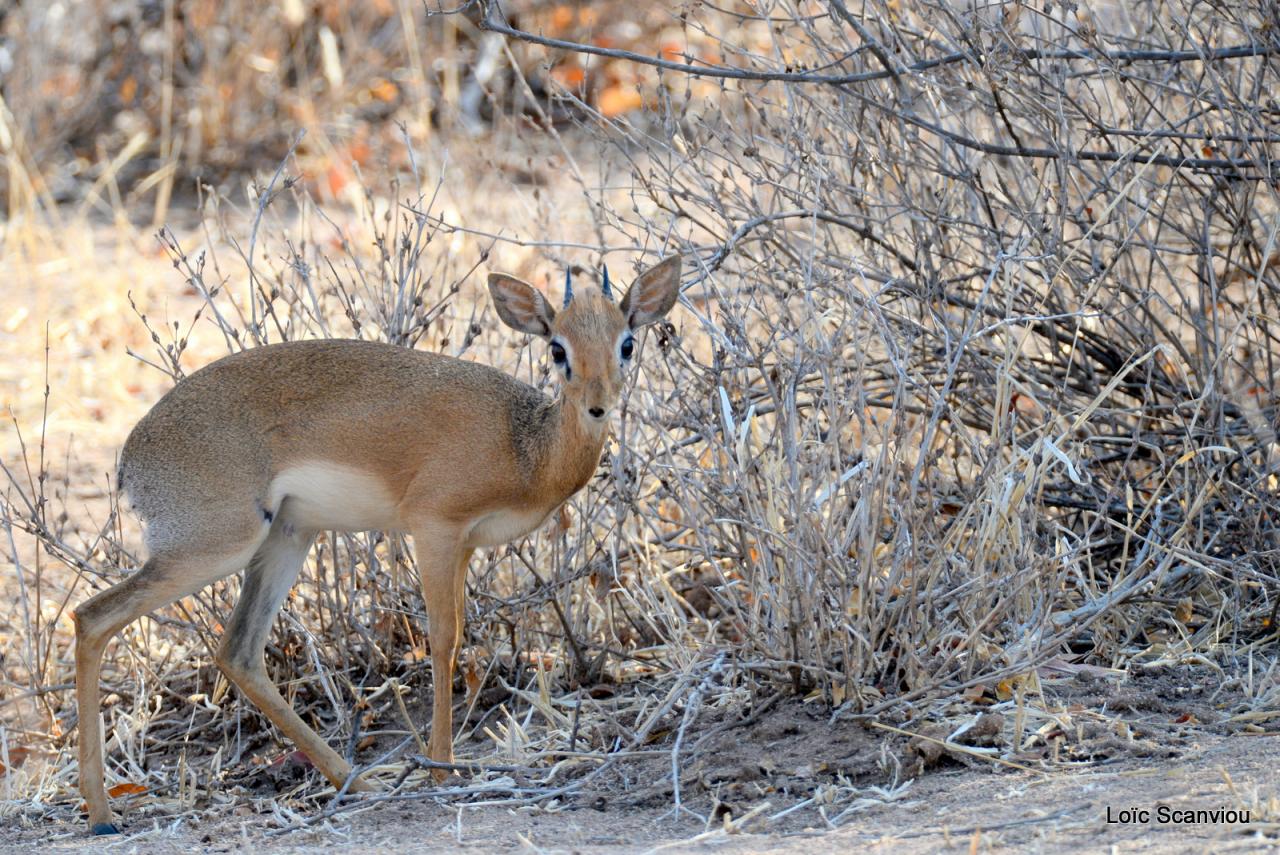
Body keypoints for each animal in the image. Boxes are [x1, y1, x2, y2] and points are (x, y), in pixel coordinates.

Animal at [72, 255, 680, 834]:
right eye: (557, 348)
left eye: (626, 342)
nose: (598, 405)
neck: (524, 446)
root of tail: (132, 457)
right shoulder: (434, 530)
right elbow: (443, 640)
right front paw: (443, 767)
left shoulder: (463, 546)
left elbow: (460, 637)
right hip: (213, 549)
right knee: (91, 617)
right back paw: (101, 815)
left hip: (288, 540)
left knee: (238, 651)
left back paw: (356, 782)